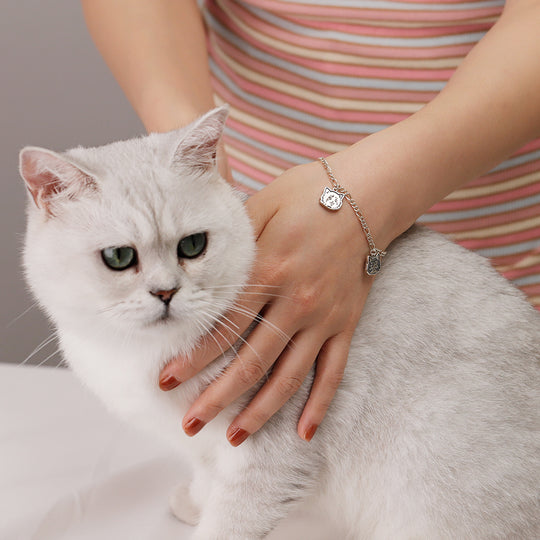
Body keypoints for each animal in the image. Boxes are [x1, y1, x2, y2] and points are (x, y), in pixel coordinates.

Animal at [19, 106, 536, 540]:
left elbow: (228, 522)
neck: (137, 356)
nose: (165, 292)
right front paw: (193, 502)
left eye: (193, 247)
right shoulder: (200, 440)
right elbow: (206, 476)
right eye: (119, 257)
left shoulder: (270, 450)